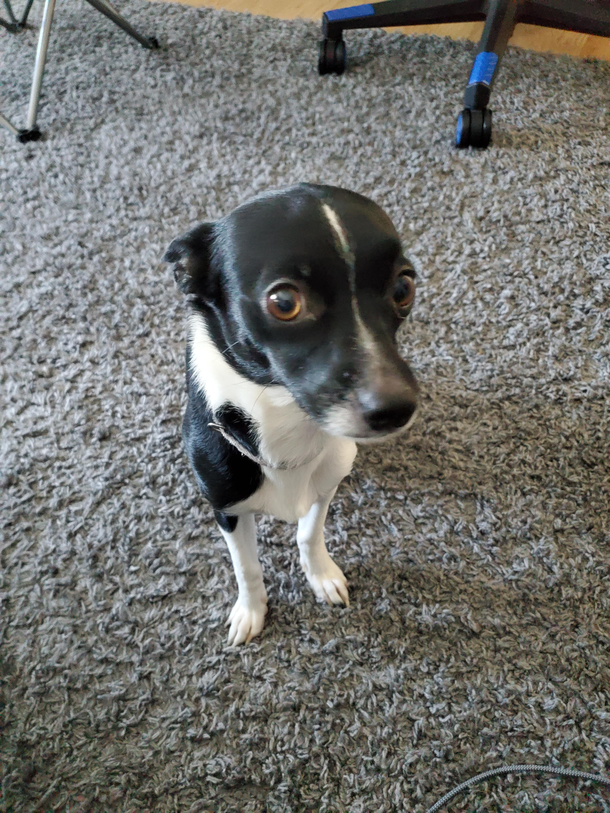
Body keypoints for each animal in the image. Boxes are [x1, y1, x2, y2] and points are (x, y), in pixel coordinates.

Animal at [164, 184, 416, 648]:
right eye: (284, 302)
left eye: (404, 287)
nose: (397, 408)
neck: (287, 422)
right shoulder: (228, 507)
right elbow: (246, 567)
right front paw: (251, 611)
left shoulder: (325, 484)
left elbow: (308, 533)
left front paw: (321, 576)